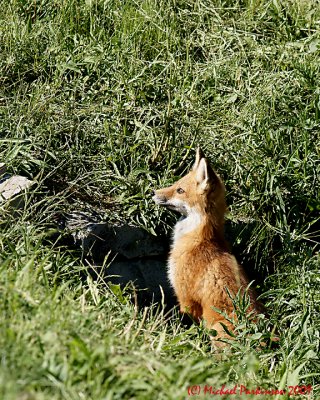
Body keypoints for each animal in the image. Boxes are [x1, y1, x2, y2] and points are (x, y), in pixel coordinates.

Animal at [153, 148, 262, 342]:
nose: (153, 192)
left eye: (180, 190)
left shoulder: (186, 298)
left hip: (217, 330)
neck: (200, 239)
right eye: (176, 184)